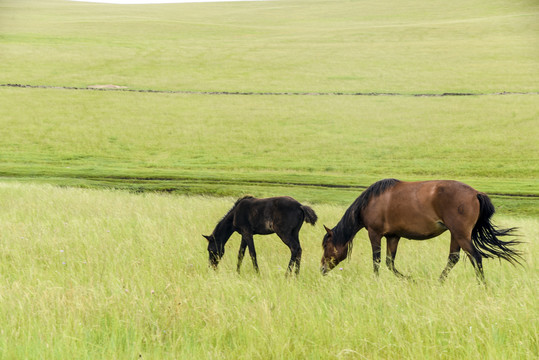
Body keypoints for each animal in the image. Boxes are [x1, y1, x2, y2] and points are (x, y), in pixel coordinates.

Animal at [320, 179, 524, 282]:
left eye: (326, 246)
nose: (322, 268)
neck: (370, 202)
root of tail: (475, 193)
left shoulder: (375, 233)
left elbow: (377, 261)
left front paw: (376, 281)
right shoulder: (393, 236)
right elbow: (390, 263)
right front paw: (409, 279)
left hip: (461, 235)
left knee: (476, 257)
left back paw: (482, 285)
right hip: (456, 235)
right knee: (453, 258)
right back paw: (439, 282)